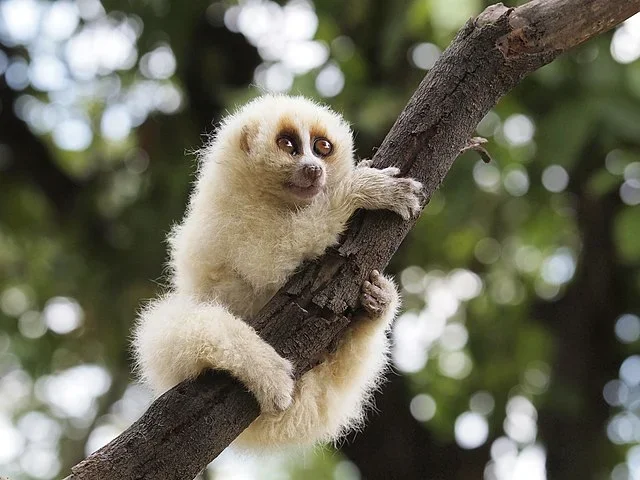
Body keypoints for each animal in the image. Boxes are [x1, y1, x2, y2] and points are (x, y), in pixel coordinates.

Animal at [132, 94, 422, 450]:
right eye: (287, 145)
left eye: (322, 147)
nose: (313, 169)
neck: (271, 199)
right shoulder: (233, 216)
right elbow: (269, 260)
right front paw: (362, 189)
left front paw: (379, 299)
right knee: (168, 326)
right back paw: (264, 370)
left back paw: (375, 307)